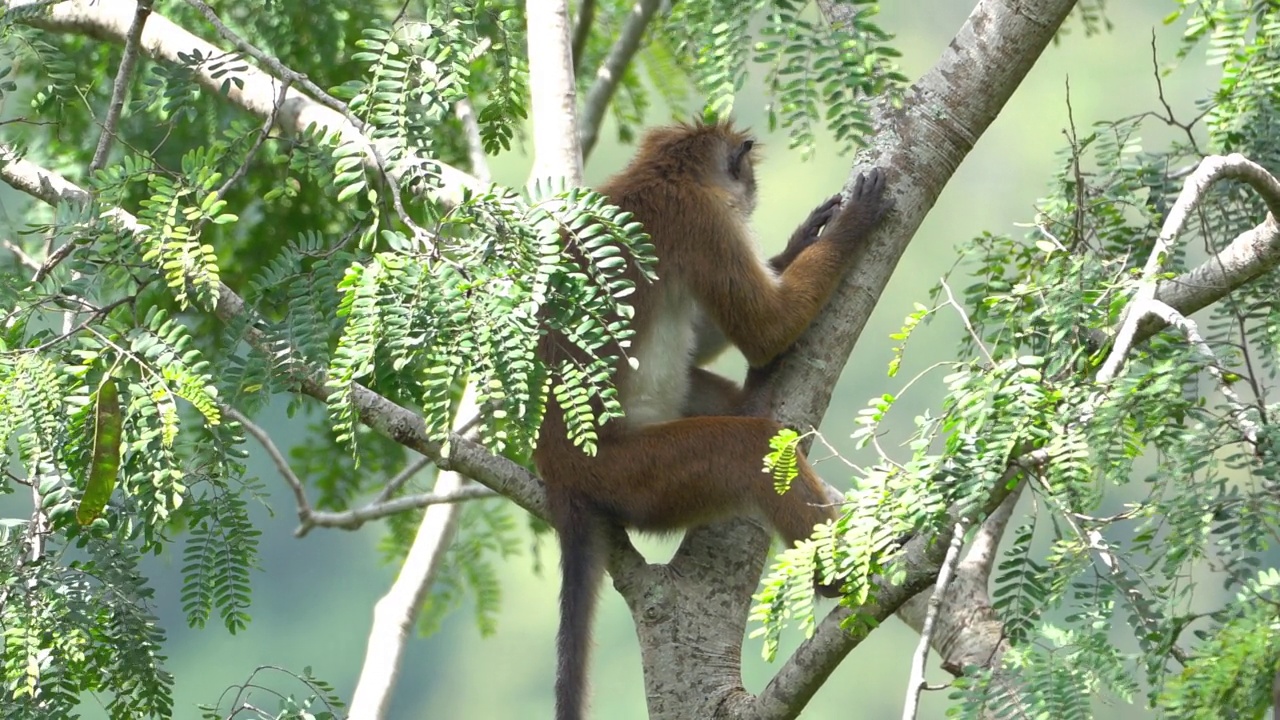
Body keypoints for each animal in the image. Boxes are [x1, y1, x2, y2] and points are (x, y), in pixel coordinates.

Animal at [532, 120, 890, 717]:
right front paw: (852, 225)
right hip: (636, 476)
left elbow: (711, 336)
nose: (753, 192)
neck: (657, 176)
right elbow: (765, 328)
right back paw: (834, 577)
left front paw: (798, 243)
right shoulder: (701, 219)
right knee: (746, 447)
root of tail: (559, 472)